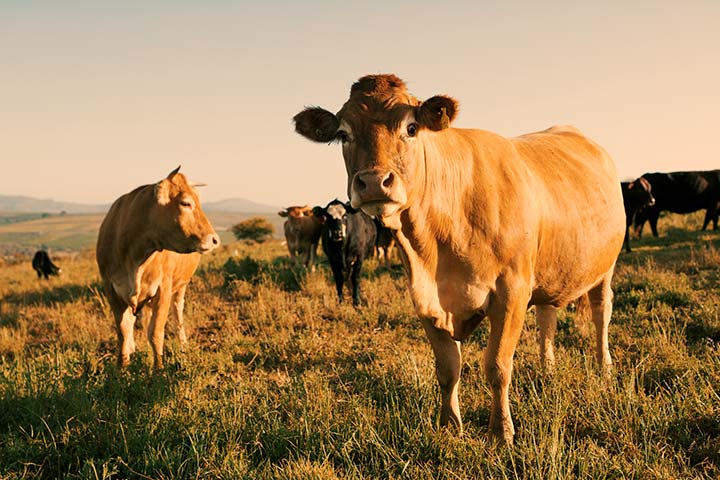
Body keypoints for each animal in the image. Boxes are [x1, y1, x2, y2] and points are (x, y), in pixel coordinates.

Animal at [95, 167, 221, 370]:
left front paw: (158, 370)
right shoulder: (111, 289)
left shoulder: (164, 289)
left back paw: (183, 345)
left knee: (177, 314)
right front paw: (121, 368)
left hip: (181, 286)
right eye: (185, 203)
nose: (215, 239)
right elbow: (123, 331)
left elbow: (155, 333)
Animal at [292, 73, 624, 444]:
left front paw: (501, 431)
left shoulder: (511, 292)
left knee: (601, 313)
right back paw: (547, 369)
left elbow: (497, 365)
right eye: (343, 134)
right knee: (547, 317)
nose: (375, 182)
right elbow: (448, 369)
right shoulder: (424, 298)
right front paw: (450, 424)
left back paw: (604, 367)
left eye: (411, 128)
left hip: (605, 266)